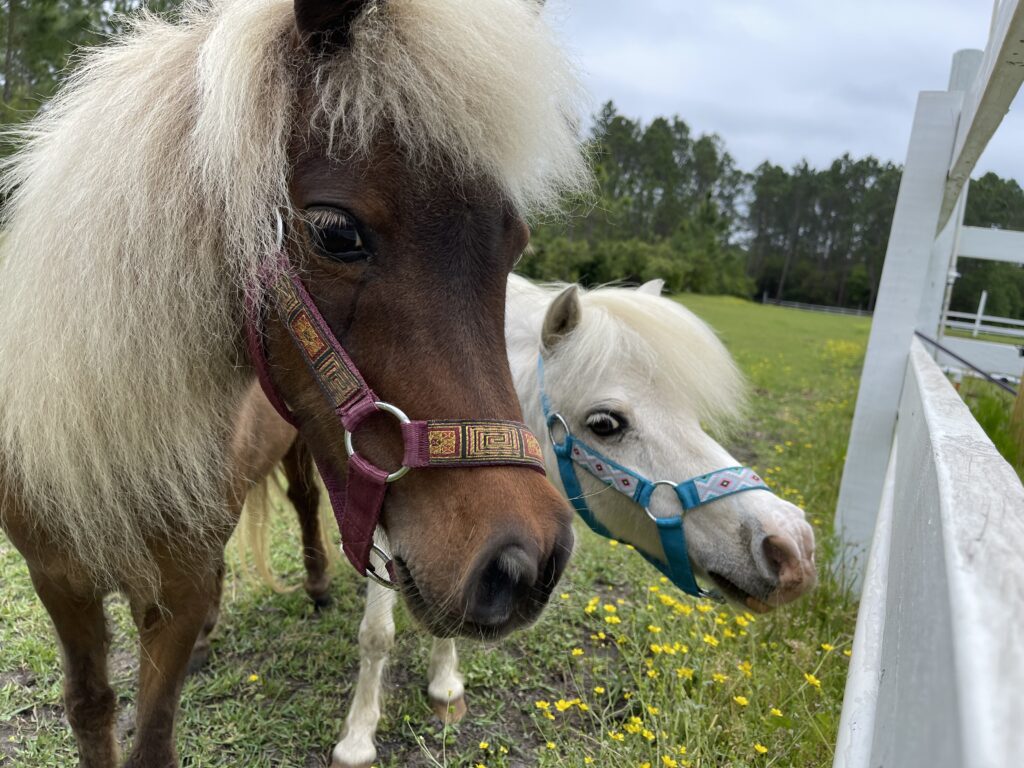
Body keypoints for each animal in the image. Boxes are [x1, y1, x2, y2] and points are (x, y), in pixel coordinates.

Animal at [0, 3, 589, 765]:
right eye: (336, 231)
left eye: (514, 244)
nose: (528, 561)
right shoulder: (59, 581)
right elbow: (91, 707)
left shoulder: (177, 585)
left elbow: (153, 731)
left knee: (307, 503)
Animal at [311, 276, 815, 768]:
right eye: (606, 423)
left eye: (689, 414)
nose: (792, 546)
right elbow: (378, 635)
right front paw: (358, 738)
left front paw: (445, 686)